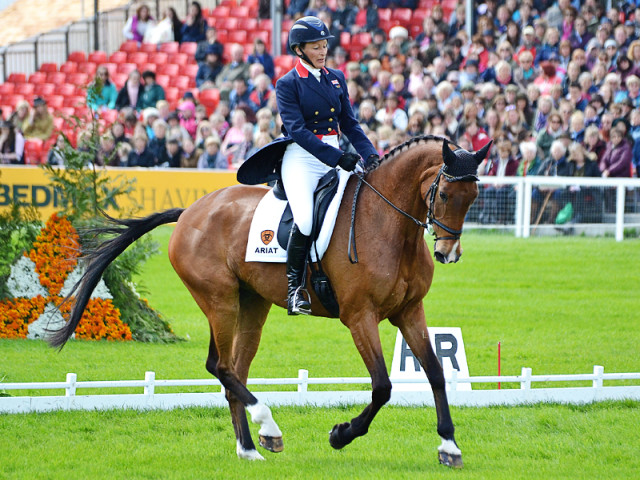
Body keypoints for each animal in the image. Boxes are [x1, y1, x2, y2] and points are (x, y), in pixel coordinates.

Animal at [51, 135, 490, 468]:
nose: (448, 253)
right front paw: (341, 435)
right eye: (445, 193)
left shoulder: (409, 311)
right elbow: (382, 386)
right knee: (220, 366)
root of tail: (192, 211)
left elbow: (436, 372)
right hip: (220, 301)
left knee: (234, 372)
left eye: (474, 196)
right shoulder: (359, 316)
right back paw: (268, 426)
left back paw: (250, 447)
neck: (388, 224)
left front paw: (449, 446)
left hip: (251, 306)